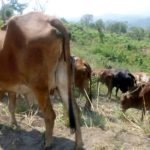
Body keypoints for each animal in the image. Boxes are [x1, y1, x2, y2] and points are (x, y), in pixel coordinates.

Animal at [0, 11, 82, 149]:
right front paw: (14, 125)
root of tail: (51, 19)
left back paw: (47, 143)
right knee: (75, 111)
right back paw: (78, 144)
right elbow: (11, 107)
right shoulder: (12, 88)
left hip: (39, 87)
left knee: (50, 114)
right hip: (63, 83)